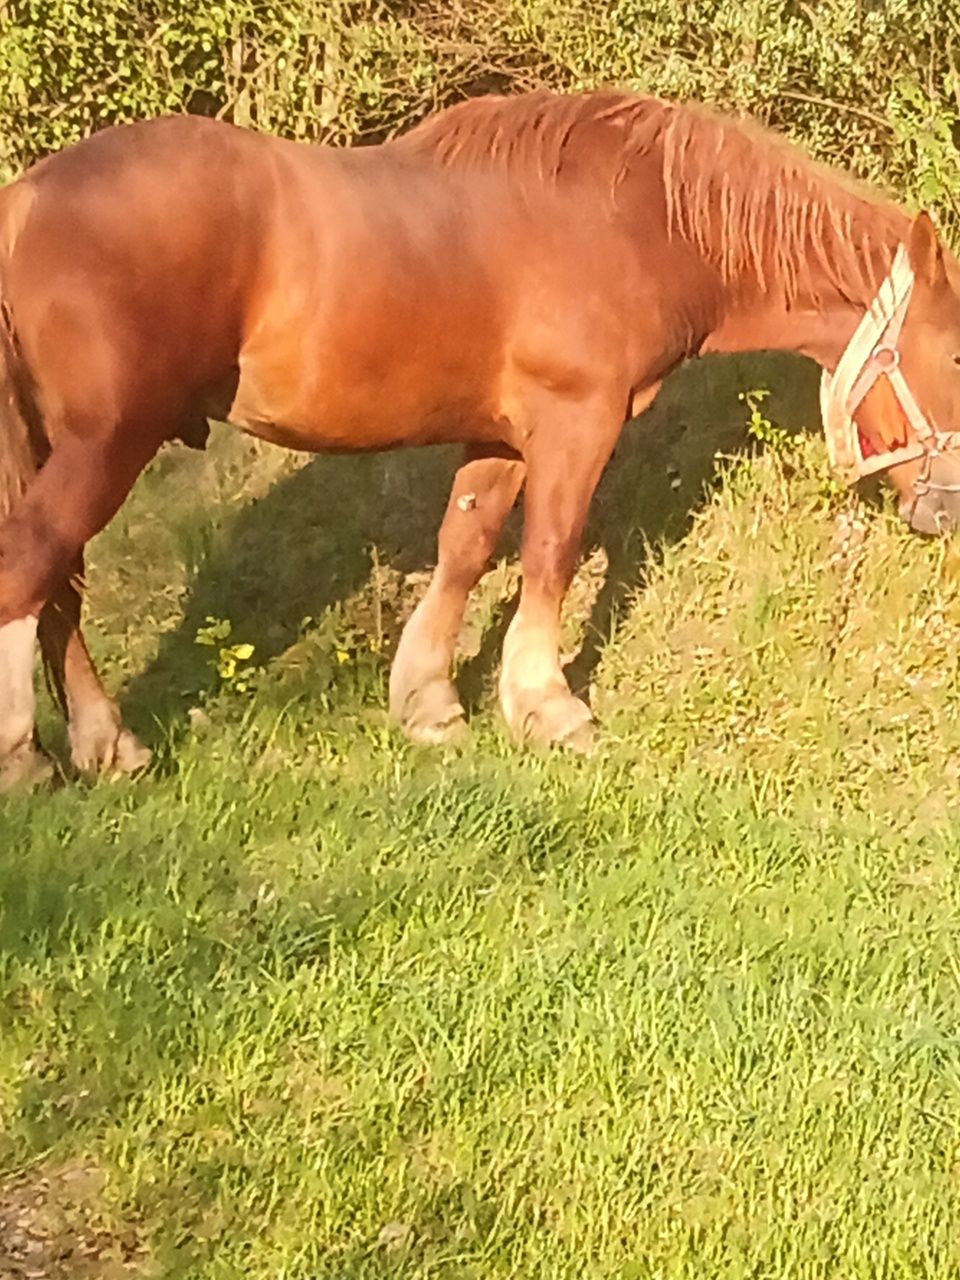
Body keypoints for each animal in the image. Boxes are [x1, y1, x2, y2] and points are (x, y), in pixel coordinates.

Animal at [1, 90, 960, 783]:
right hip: (103, 446)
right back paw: (26, 758)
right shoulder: (577, 422)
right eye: (955, 353)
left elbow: (464, 548)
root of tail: (25, 200)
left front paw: (429, 701)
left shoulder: (501, 438)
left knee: (59, 588)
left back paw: (104, 746)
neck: (641, 217)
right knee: (32, 565)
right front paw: (548, 707)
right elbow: (551, 552)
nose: (944, 512)